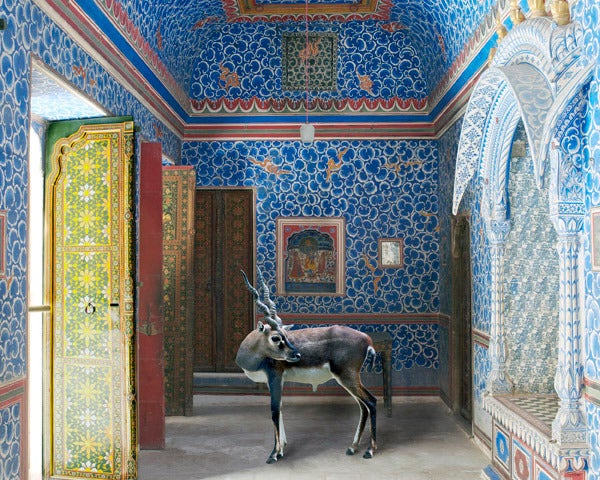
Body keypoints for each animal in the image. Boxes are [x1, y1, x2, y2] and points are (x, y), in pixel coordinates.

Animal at [234, 270, 376, 462]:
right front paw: (282, 449)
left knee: (371, 402)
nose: (297, 354)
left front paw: (274, 454)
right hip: (349, 379)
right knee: (363, 406)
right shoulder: (276, 381)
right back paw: (352, 447)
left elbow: (274, 411)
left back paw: (369, 451)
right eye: (276, 337)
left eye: (285, 335)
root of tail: (367, 340)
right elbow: (280, 408)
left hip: (347, 377)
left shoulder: (274, 377)